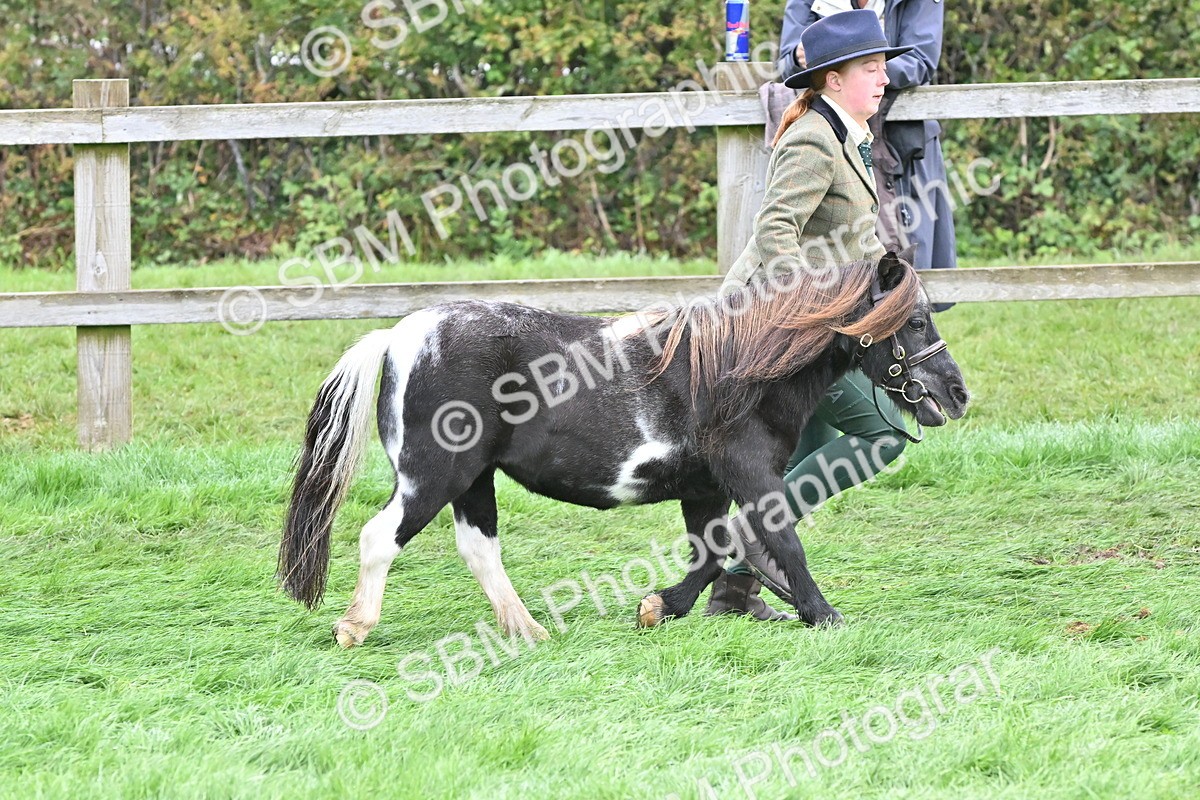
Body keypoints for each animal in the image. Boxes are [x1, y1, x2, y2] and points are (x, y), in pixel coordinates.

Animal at [278, 252, 969, 648]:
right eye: (914, 322)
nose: (956, 392)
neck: (738, 370)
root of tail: (398, 337)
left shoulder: (706, 489)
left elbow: (713, 555)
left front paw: (660, 606)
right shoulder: (750, 475)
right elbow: (784, 543)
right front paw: (824, 616)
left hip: (473, 481)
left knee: (478, 548)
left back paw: (528, 631)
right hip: (433, 477)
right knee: (379, 537)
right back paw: (354, 626)